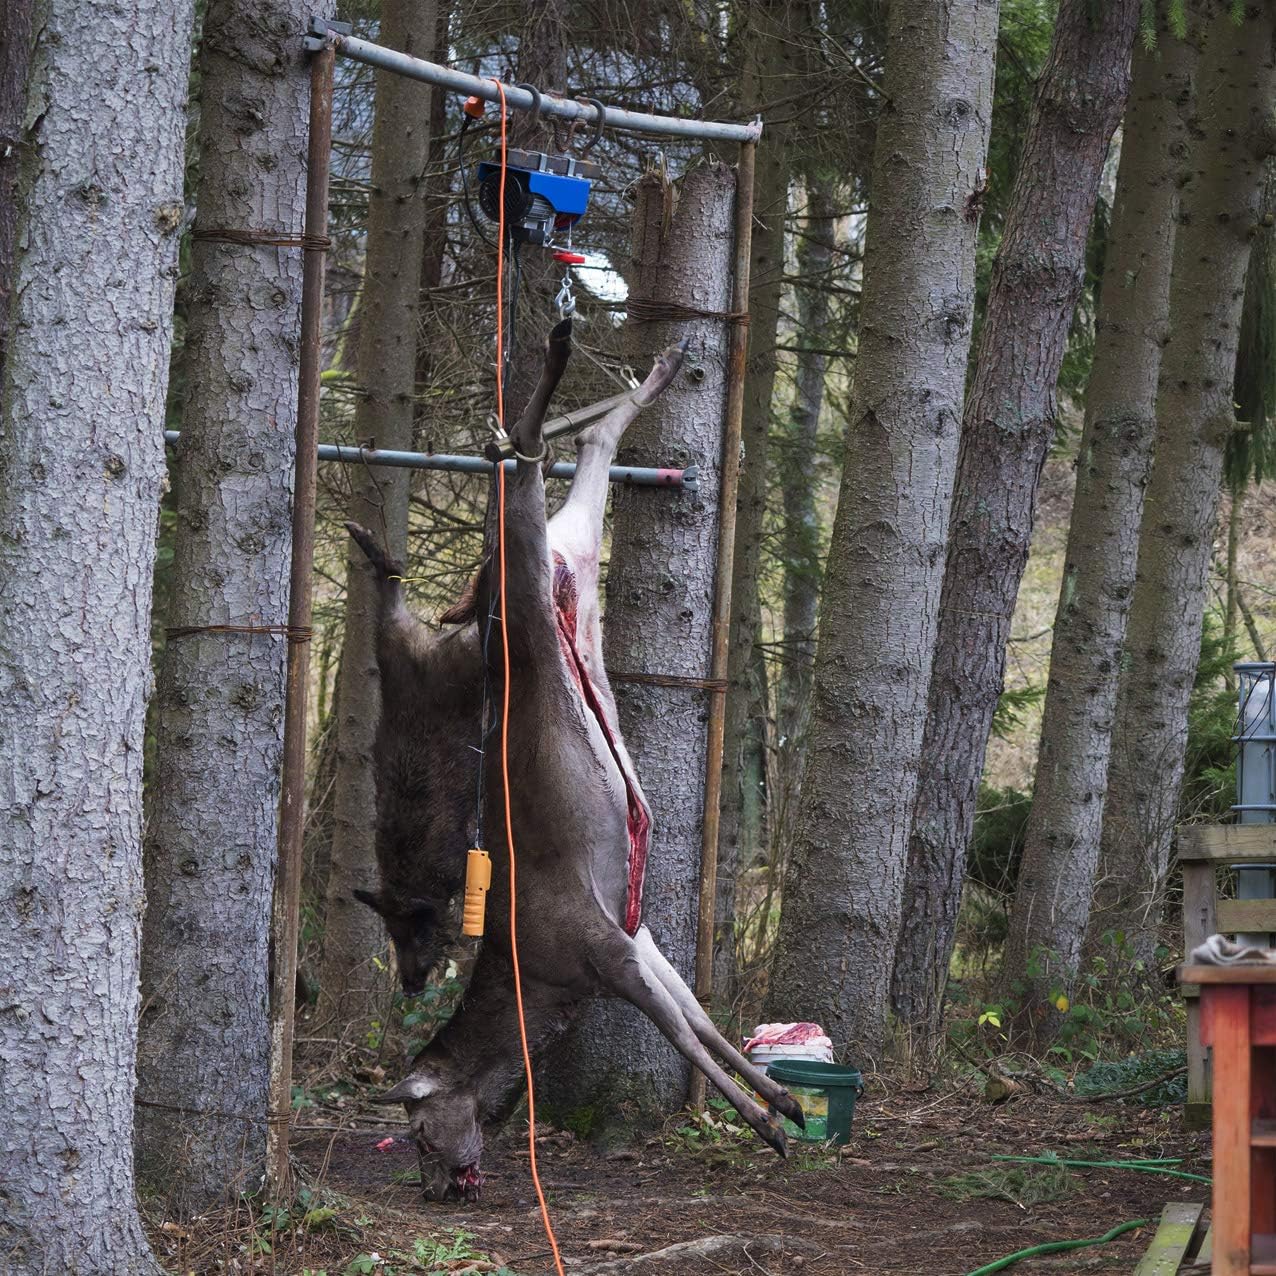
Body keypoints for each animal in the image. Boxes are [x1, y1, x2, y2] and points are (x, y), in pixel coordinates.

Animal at [347, 319, 804, 1202]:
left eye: (416, 1131)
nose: (435, 1184)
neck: (543, 991)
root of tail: (557, 552)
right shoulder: (639, 933)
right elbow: (702, 1018)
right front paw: (784, 1101)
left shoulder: (604, 949)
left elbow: (686, 1035)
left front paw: (767, 1124)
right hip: (573, 542)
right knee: (591, 446)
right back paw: (658, 364)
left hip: (524, 573)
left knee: (526, 458)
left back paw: (556, 361)